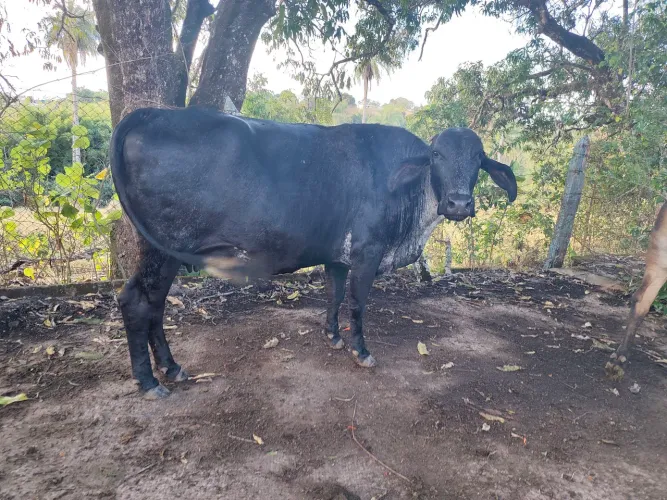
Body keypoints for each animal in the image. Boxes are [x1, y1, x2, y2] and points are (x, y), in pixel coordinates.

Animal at [110, 106, 518, 399]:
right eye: (436, 155)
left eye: (479, 157)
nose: (459, 203)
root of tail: (149, 113)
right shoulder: (367, 253)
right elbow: (356, 303)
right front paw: (360, 350)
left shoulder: (337, 257)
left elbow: (333, 295)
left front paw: (333, 336)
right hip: (164, 248)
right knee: (136, 301)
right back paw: (149, 381)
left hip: (164, 251)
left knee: (154, 304)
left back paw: (171, 367)